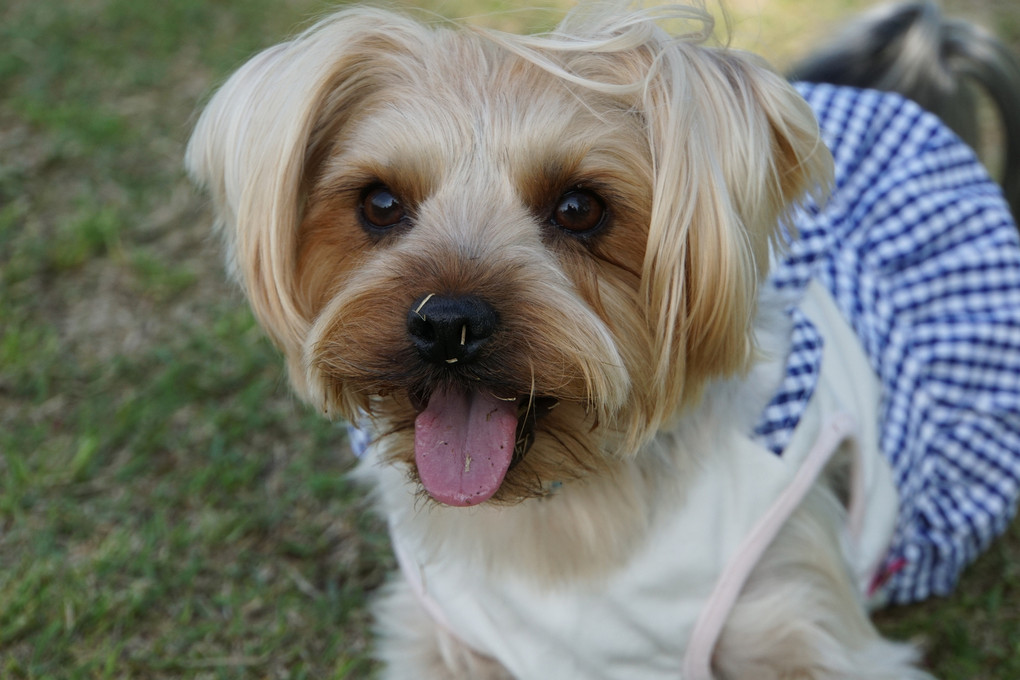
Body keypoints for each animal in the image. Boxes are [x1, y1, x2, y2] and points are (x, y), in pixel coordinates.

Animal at [185, 2, 1020, 676]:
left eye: (580, 208)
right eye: (381, 203)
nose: (446, 322)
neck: (564, 508)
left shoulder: (797, 610)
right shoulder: (444, 635)